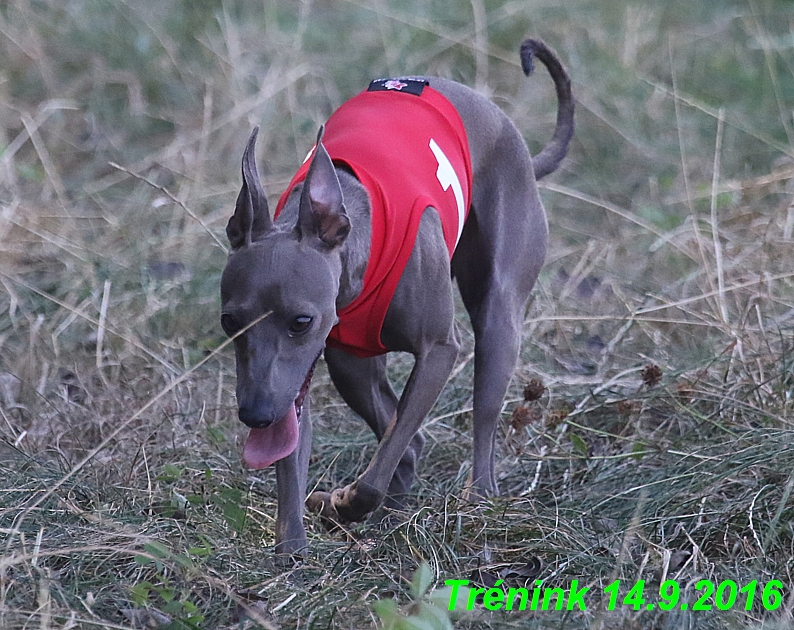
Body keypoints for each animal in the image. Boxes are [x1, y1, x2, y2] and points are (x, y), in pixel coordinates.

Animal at [220, 38, 572, 556]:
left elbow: (380, 464)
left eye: (301, 321)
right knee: (404, 441)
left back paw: (477, 498)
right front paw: (293, 545)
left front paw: (349, 501)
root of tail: (521, 147)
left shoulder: (439, 351)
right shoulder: (303, 374)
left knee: (477, 414)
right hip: (351, 368)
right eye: (230, 322)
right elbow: (301, 449)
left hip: (498, 319)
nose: (256, 415)